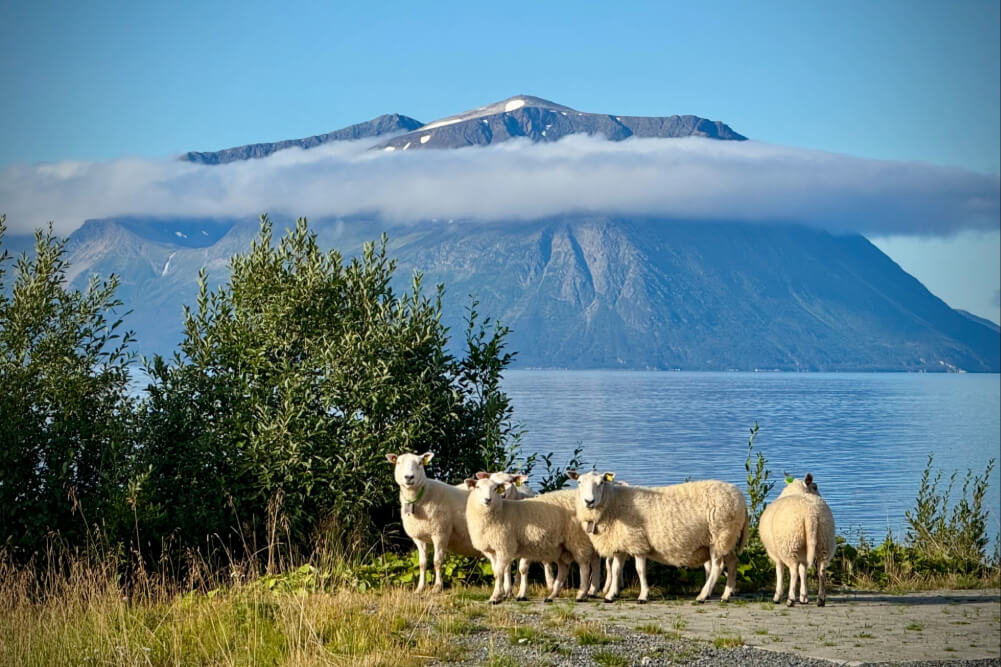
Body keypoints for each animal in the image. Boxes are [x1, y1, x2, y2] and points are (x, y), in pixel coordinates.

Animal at [386, 452, 479, 593]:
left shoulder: (440, 533)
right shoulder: (419, 537)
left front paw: (437, 587)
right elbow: (422, 564)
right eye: (398, 462)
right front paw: (420, 588)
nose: (409, 477)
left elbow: (437, 562)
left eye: (420, 463)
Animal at [465, 476, 595, 604]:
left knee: (584, 566)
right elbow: (496, 573)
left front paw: (496, 596)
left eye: (495, 488)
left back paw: (581, 594)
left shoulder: (504, 546)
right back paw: (551, 596)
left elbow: (499, 572)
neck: (501, 511)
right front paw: (500, 595)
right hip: (562, 546)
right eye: (477, 487)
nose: (487, 500)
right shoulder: (492, 550)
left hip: (578, 539)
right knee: (564, 568)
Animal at [568, 470, 748, 603]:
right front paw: (610, 595)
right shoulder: (621, 542)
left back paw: (703, 596)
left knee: (718, 566)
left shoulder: (637, 542)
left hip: (720, 536)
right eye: (579, 482)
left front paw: (643, 596)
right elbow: (616, 569)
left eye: (601, 483)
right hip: (727, 538)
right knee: (733, 563)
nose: (589, 501)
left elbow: (640, 570)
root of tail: (740, 496)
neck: (612, 504)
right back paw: (726, 595)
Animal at [758, 473, 836, 607]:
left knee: (793, 571)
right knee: (821, 571)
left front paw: (777, 596)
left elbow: (780, 571)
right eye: (815, 487)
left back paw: (790, 599)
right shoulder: (804, 553)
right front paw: (804, 597)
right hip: (824, 541)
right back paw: (820, 599)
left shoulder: (775, 553)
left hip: (790, 545)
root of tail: (810, 514)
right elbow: (803, 571)